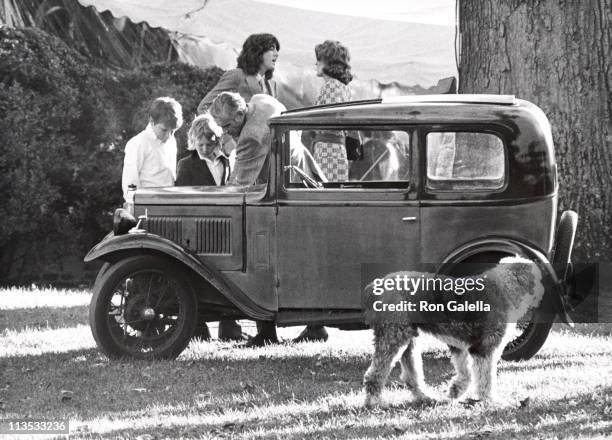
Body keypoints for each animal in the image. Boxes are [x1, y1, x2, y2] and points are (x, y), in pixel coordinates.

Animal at [360, 256, 544, 408]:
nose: (543, 293)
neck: (504, 288)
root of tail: (373, 288)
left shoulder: (461, 346)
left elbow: (466, 372)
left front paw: (455, 390)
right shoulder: (484, 349)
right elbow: (486, 379)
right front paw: (491, 400)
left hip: (409, 340)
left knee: (411, 375)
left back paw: (425, 397)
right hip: (393, 338)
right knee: (375, 374)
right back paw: (374, 402)